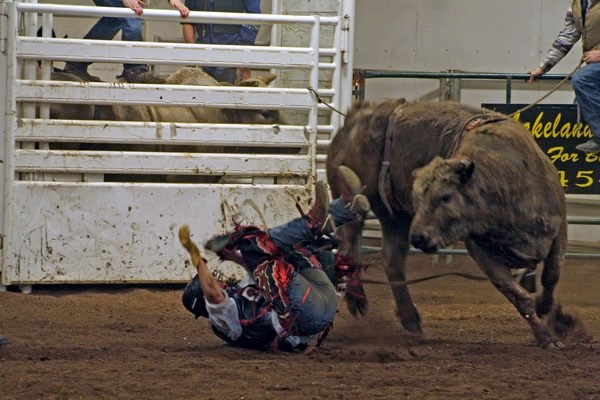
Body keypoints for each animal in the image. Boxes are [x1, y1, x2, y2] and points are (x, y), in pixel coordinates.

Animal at [326, 100, 580, 346]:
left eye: (445, 197)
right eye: (418, 199)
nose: (418, 237)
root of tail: (354, 119)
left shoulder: (559, 231)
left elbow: (551, 275)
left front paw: (548, 310)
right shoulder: (481, 251)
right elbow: (519, 296)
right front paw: (546, 338)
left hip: (395, 215)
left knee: (391, 257)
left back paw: (410, 318)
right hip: (358, 199)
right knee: (349, 246)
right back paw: (358, 301)